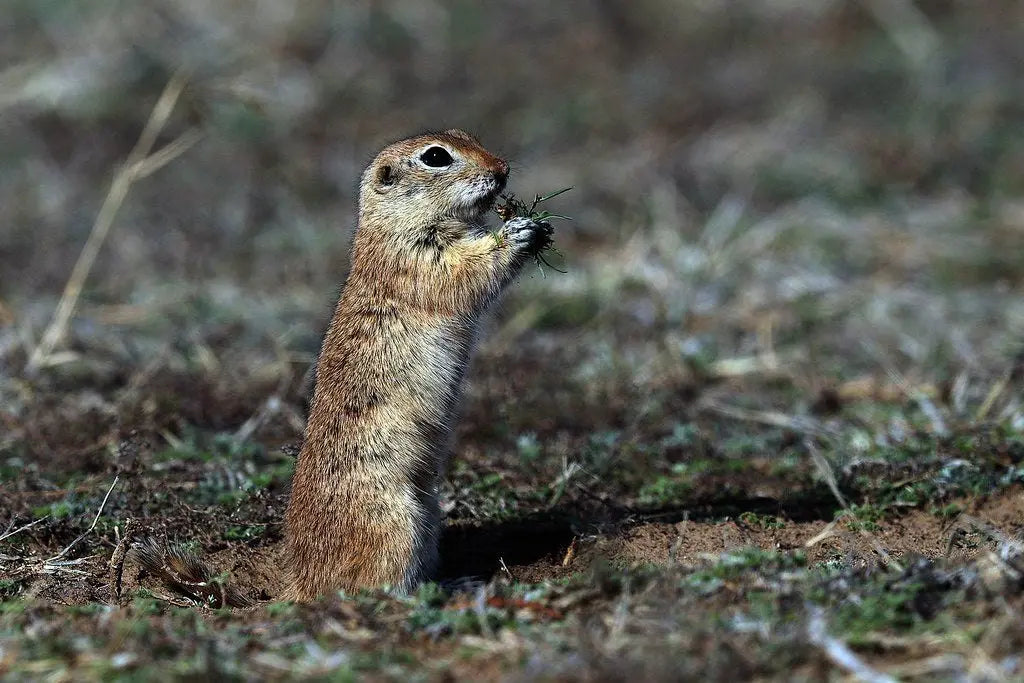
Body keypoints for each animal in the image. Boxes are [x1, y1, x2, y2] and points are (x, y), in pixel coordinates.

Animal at [280, 129, 551, 601]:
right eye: (436, 157)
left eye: (466, 135)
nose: (502, 169)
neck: (389, 225)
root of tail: (301, 583)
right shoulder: (419, 261)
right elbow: (465, 271)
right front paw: (520, 231)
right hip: (396, 523)